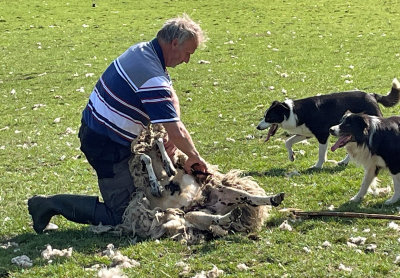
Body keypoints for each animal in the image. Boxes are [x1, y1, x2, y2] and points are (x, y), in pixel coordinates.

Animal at [115, 124, 284, 243]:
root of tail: (212, 207)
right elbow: (146, 159)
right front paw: (156, 182)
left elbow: (156, 148)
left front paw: (167, 164)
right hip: (192, 214)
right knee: (213, 219)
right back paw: (232, 215)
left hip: (223, 193)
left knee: (248, 197)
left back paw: (273, 198)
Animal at [256, 79, 400, 168]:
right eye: (264, 116)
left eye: (268, 117)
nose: (257, 127)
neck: (292, 111)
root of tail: (372, 95)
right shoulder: (305, 133)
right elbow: (288, 142)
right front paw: (292, 156)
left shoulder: (322, 135)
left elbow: (321, 154)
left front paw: (317, 166)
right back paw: (344, 162)